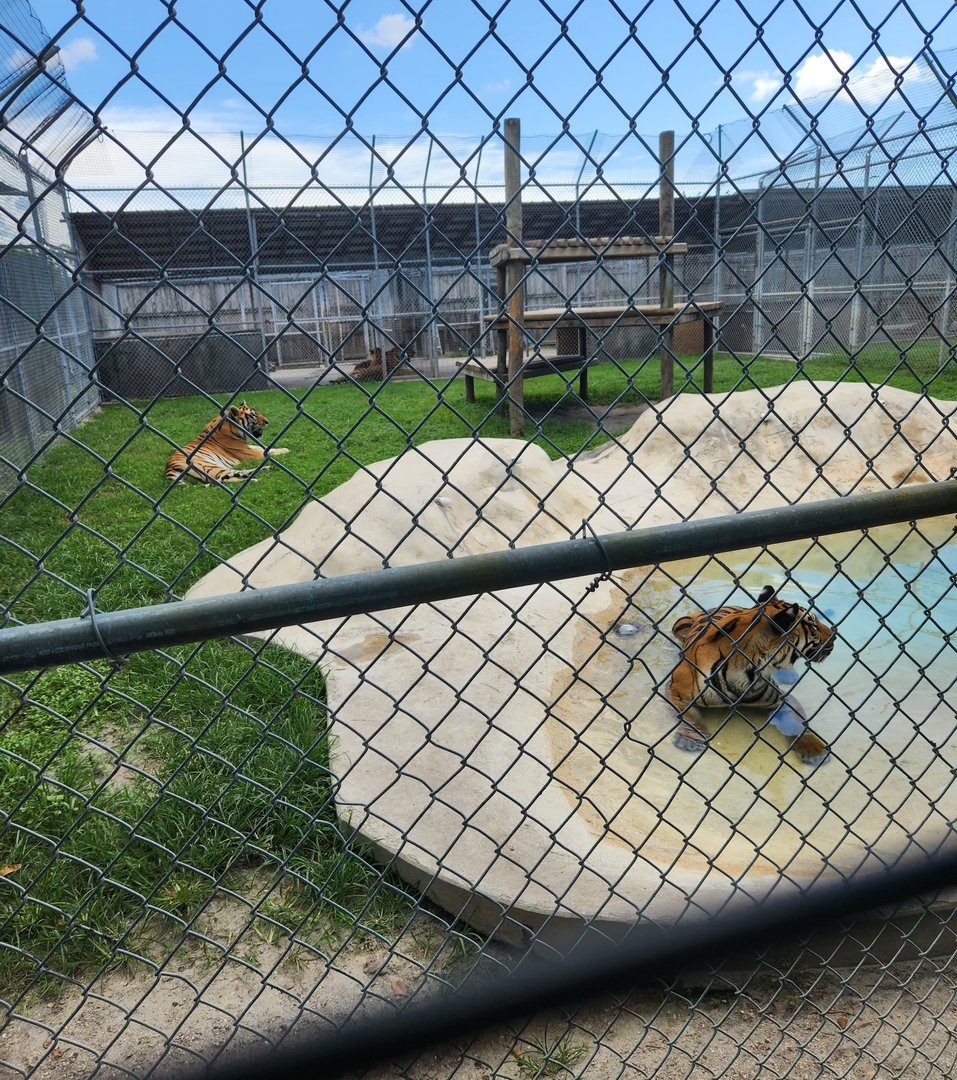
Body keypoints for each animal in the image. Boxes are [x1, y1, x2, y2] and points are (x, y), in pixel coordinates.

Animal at [666, 584, 836, 766]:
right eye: (814, 627)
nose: (834, 635)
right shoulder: (675, 692)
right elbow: (690, 717)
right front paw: (690, 739)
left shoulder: (782, 699)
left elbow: (798, 723)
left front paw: (815, 751)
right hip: (678, 625)